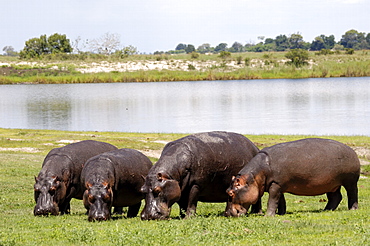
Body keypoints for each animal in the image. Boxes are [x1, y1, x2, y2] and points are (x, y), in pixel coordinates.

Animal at [224, 138, 360, 217]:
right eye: (226, 190)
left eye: (231, 193)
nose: (227, 214)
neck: (255, 176)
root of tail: (352, 150)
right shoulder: (278, 185)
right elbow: (280, 200)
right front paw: (281, 214)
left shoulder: (276, 184)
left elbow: (272, 200)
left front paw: (268, 216)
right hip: (331, 184)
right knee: (336, 197)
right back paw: (326, 210)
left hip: (350, 181)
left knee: (352, 194)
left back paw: (352, 209)